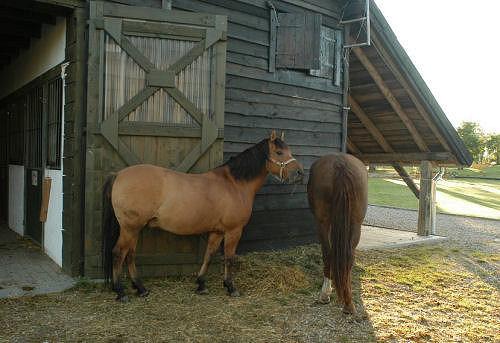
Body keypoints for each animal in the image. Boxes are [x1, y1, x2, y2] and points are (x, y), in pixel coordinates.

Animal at [102, 131, 304, 300]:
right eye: (279, 152)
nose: (300, 173)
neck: (234, 184)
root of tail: (118, 174)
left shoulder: (217, 231)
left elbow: (209, 254)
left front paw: (201, 284)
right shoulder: (233, 231)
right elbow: (229, 258)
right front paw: (231, 287)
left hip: (135, 229)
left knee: (130, 254)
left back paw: (141, 288)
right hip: (130, 228)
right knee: (118, 253)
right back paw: (120, 292)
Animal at [304, 155, 368, 316]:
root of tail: (340, 163)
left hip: (322, 222)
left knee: (328, 253)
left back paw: (325, 294)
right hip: (355, 223)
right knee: (348, 255)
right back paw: (348, 303)